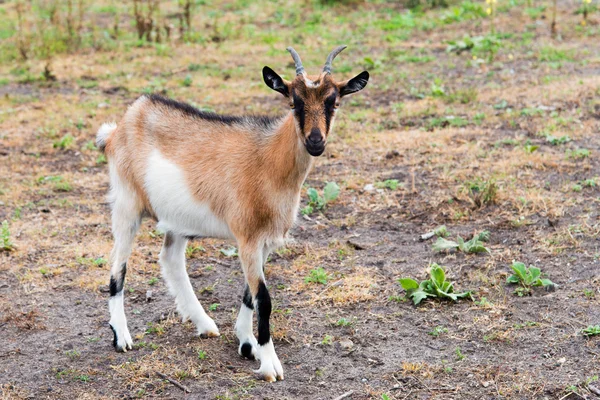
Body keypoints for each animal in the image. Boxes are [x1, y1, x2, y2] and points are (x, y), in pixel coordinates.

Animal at [98, 46, 368, 382]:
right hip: (127, 204)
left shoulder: (265, 242)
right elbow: (263, 298)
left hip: (177, 220)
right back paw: (121, 337)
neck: (268, 161)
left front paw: (247, 344)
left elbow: (249, 294)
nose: (315, 141)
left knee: (170, 259)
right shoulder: (247, 237)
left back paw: (204, 324)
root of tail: (121, 126)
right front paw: (269, 364)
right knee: (118, 267)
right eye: (294, 102)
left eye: (334, 101)